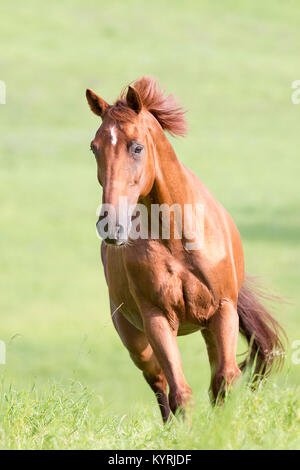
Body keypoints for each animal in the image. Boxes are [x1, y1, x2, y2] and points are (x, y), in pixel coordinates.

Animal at [85, 77, 284, 422]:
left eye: (136, 147)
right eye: (94, 148)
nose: (110, 225)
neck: (177, 239)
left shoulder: (223, 310)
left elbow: (224, 379)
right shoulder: (158, 319)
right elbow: (180, 392)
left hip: (207, 328)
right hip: (136, 341)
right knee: (159, 385)